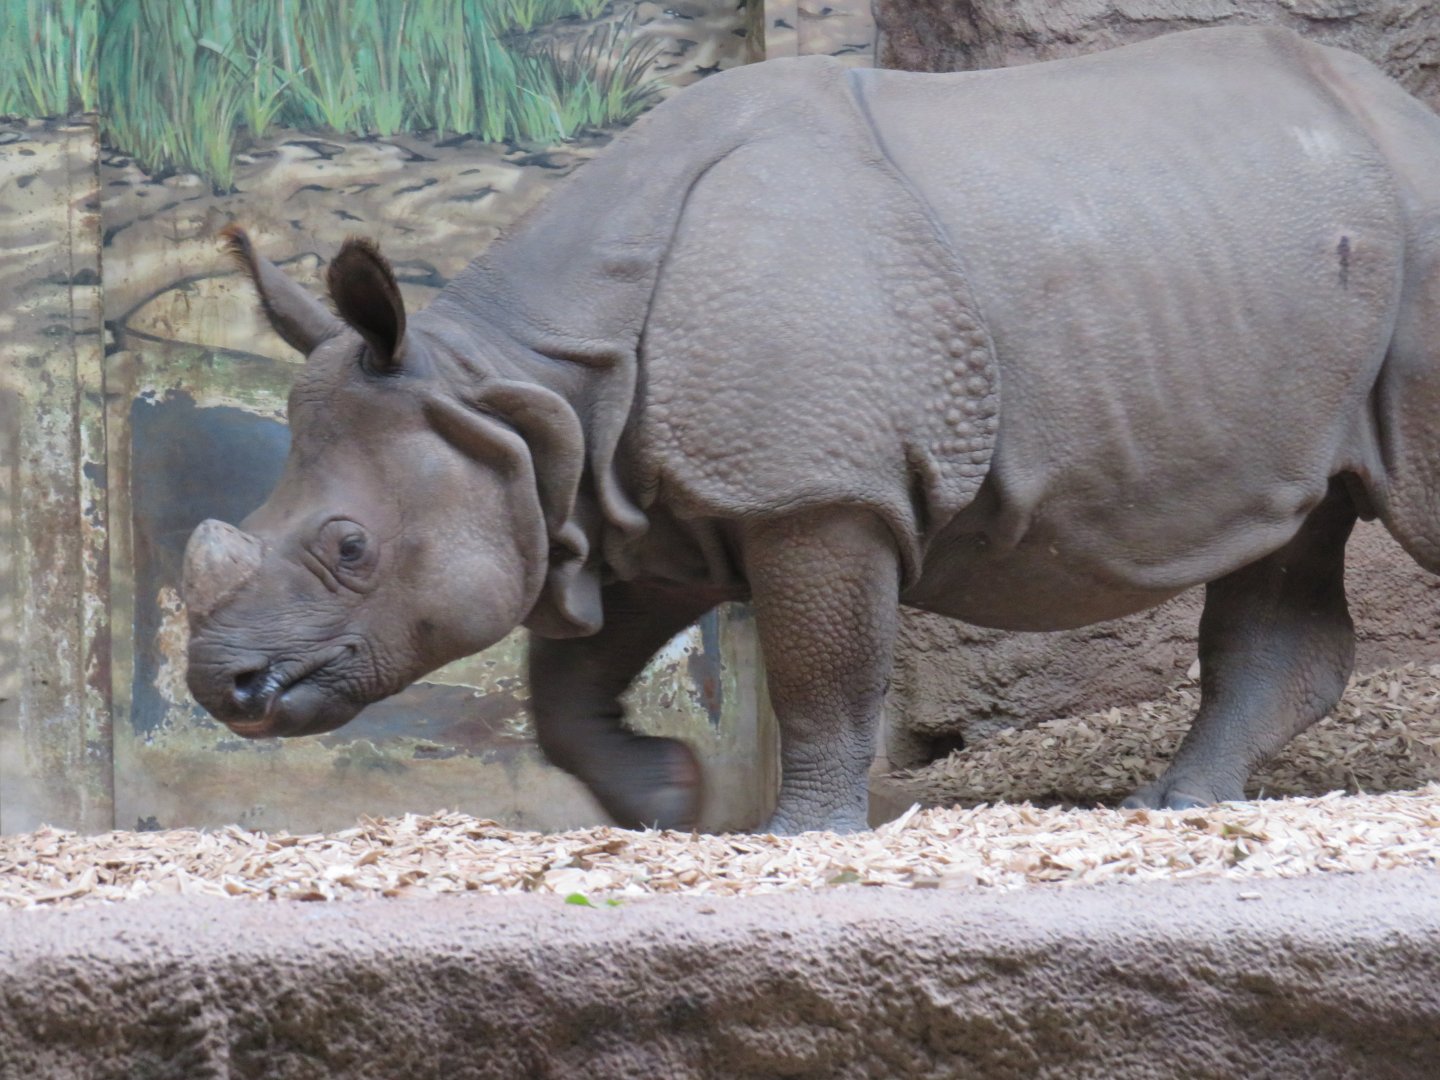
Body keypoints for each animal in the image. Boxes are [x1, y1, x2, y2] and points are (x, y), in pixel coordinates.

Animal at [183, 26, 1440, 833]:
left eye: (350, 548)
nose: (220, 686)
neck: (511, 384)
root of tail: (1401, 111)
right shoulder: (631, 498)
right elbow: (566, 684)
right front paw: (669, 805)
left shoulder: (816, 493)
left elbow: (821, 675)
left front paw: (800, 836)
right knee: (1295, 525)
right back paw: (1174, 806)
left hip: (1418, 232)